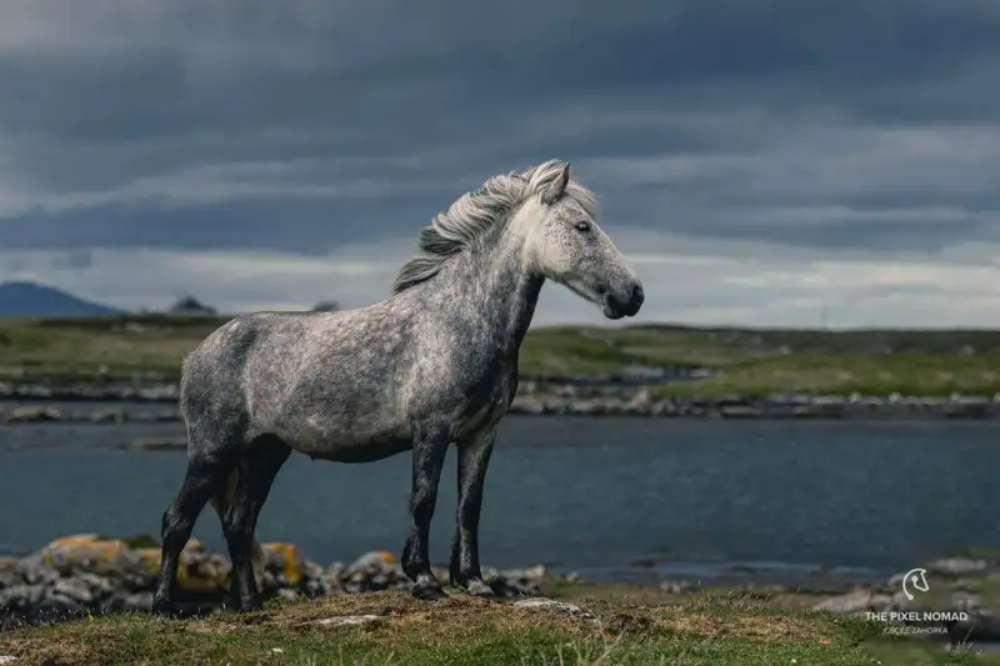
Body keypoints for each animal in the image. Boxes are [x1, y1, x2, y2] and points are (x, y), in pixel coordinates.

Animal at [152, 157, 644, 612]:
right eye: (582, 226)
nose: (634, 294)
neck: (461, 318)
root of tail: (197, 354)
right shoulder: (432, 428)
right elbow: (424, 499)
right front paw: (425, 580)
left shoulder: (481, 434)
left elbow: (470, 505)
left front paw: (476, 582)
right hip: (213, 452)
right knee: (177, 520)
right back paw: (164, 606)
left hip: (265, 453)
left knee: (239, 524)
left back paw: (252, 604)